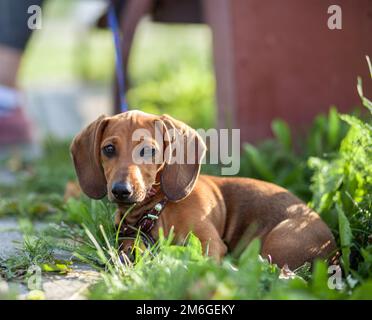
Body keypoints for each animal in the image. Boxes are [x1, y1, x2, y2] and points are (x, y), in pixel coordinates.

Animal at [70, 111, 338, 268]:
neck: (157, 209)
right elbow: (131, 247)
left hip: (278, 245)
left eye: (148, 150)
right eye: (108, 149)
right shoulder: (129, 237)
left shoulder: (208, 242)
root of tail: (333, 250)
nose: (121, 190)